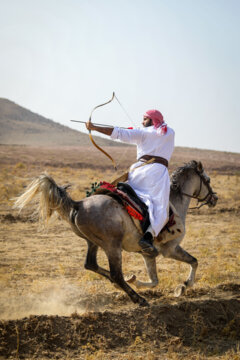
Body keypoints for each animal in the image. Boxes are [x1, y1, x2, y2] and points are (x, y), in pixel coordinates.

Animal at [14, 160, 218, 306]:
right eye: (207, 180)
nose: (214, 198)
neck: (173, 201)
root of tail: (78, 204)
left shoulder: (148, 254)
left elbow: (154, 280)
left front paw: (136, 280)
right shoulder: (171, 249)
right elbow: (194, 261)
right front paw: (183, 286)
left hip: (93, 243)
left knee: (92, 265)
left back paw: (126, 285)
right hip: (112, 246)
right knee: (115, 274)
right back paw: (139, 299)